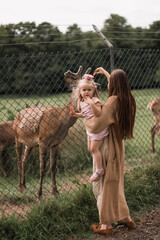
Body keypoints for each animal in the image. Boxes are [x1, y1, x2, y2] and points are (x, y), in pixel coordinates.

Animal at [12, 65, 91, 199]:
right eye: (78, 85)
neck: (60, 121)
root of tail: (18, 113)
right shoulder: (43, 141)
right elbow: (42, 167)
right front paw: (39, 194)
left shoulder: (56, 143)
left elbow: (53, 167)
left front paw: (55, 192)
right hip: (17, 137)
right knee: (18, 160)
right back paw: (19, 187)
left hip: (30, 143)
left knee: (23, 160)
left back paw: (24, 185)